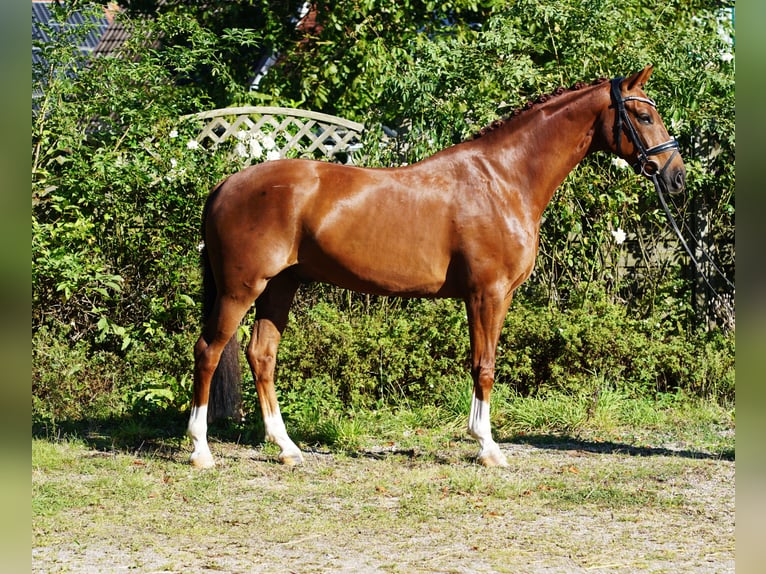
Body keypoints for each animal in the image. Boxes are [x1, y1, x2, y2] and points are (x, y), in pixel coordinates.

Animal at [189, 66, 688, 468]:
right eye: (644, 117)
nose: (676, 176)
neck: (503, 179)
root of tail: (226, 184)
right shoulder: (488, 293)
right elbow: (484, 365)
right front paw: (487, 447)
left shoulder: (493, 295)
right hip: (241, 288)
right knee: (209, 350)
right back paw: (201, 451)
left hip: (280, 286)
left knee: (262, 354)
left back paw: (287, 449)